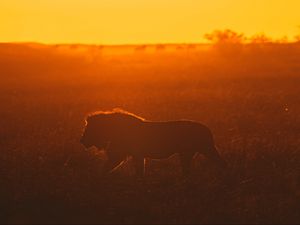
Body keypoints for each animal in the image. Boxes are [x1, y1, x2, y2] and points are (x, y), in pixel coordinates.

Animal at [81, 109, 226, 176]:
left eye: (89, 128)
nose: (81, 140)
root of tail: (206, 128)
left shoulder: (120, 154)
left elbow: (107, 167)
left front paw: (98, 177)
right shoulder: (137, 155)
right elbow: (139, 170)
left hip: (203, 149)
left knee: (220, 162)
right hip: (189, 153)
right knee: (189, 170)